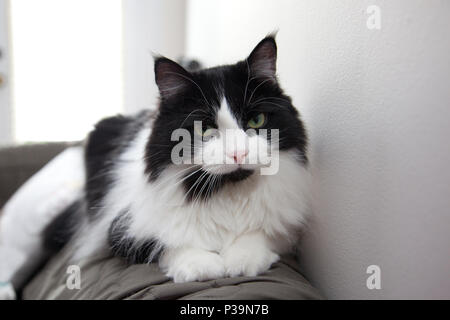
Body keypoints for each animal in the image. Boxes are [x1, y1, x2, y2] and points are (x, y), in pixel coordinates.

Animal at [0, 35, 310, 298]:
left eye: (256, 121)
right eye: (205, 130)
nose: (238, 154)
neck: (225, 192)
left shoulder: (286, 226)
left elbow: (261, 234)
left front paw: (242, 258)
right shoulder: (121, 229)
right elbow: (167, 242)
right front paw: (200, 265)